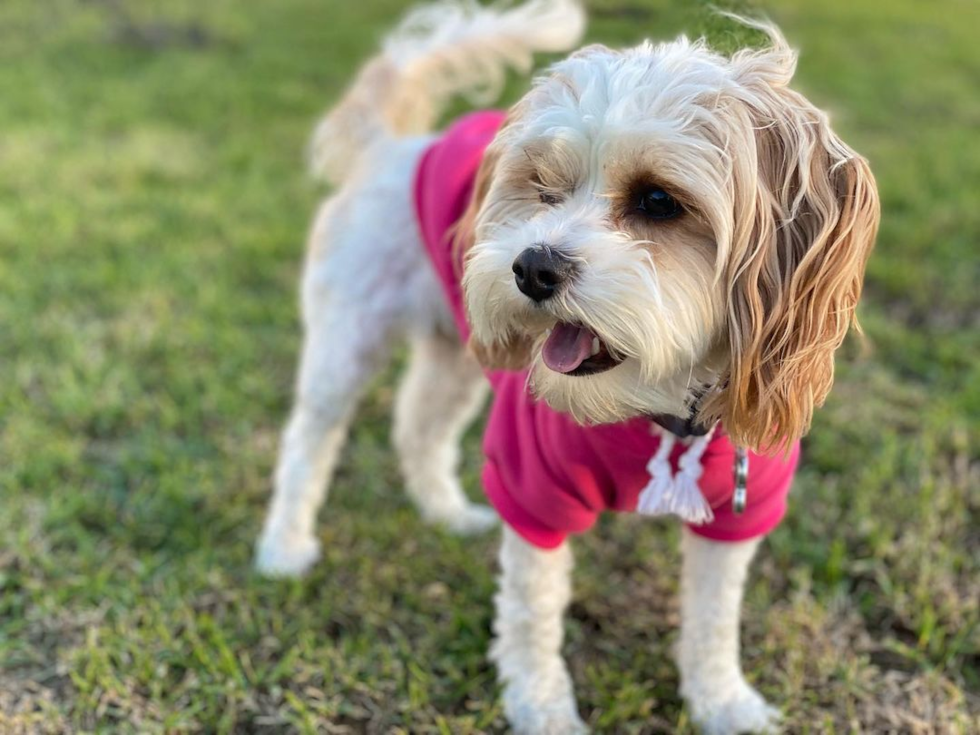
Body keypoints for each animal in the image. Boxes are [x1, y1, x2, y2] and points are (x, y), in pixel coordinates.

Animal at [255, 2, 880, 732]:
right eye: (544, 188)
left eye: (659, 201)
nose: (532, 266)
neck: (653, 411)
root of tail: (394, 147)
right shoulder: (534, 484)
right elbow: (532, 614)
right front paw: (544, 707)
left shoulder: (742, 508)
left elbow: (714, 619)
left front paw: (724, 701)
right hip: (348, 338)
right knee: (310, 441)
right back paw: (284, 547)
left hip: (456, 354)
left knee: (418, 428)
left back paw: (445, 513)